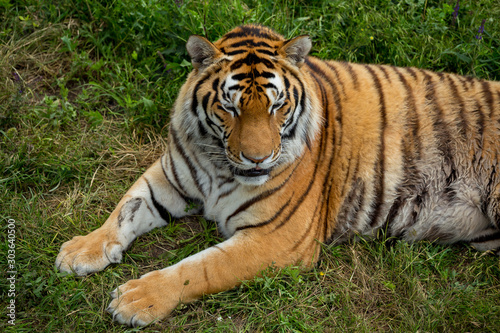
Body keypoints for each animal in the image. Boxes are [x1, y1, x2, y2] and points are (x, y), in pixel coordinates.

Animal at [54, 24, 500, 326]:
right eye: (230, 108)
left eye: (276, 106)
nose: (257, 159)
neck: (219, 165)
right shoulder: (169, 176)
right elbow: (125, 206)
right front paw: (81, 251)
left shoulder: (278, 238)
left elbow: (201, 267)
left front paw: (137, 297)